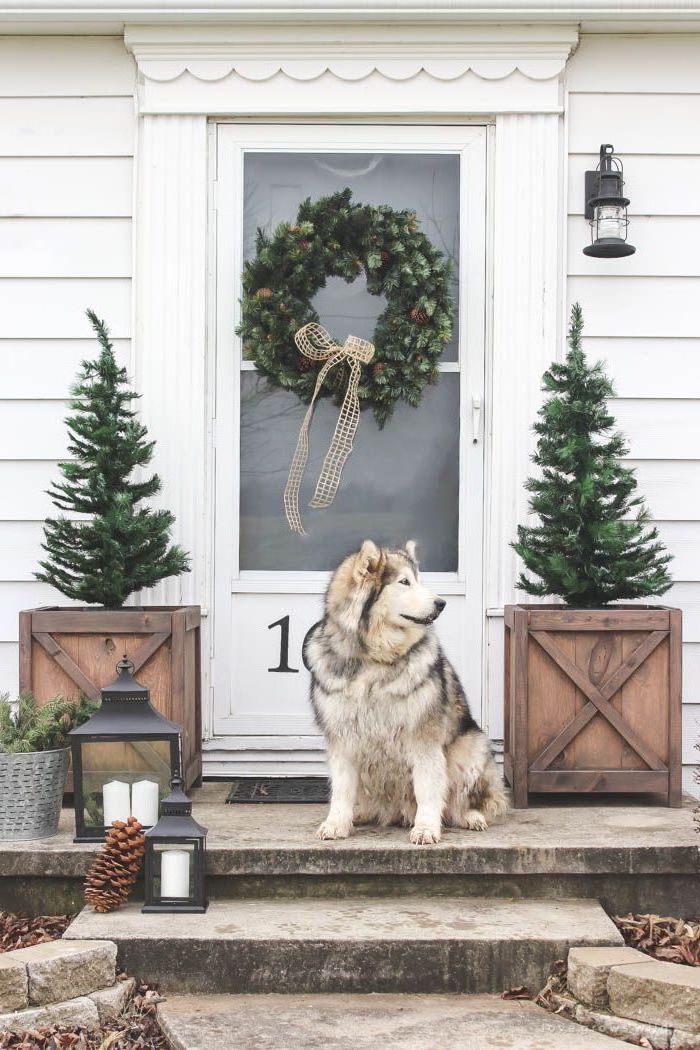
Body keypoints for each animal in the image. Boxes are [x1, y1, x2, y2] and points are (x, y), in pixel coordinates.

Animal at [306, 541, 510, 844]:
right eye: (404, 582)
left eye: (420, 580)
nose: (441, 603)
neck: (373, 659)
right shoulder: (342, 739)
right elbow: (341, 790)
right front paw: (336, 823)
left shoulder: (423, 738)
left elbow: (427, 788)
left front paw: (426, 827)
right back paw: (358, 814)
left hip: (471, 748)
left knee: (459, 802)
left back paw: (469, 817)